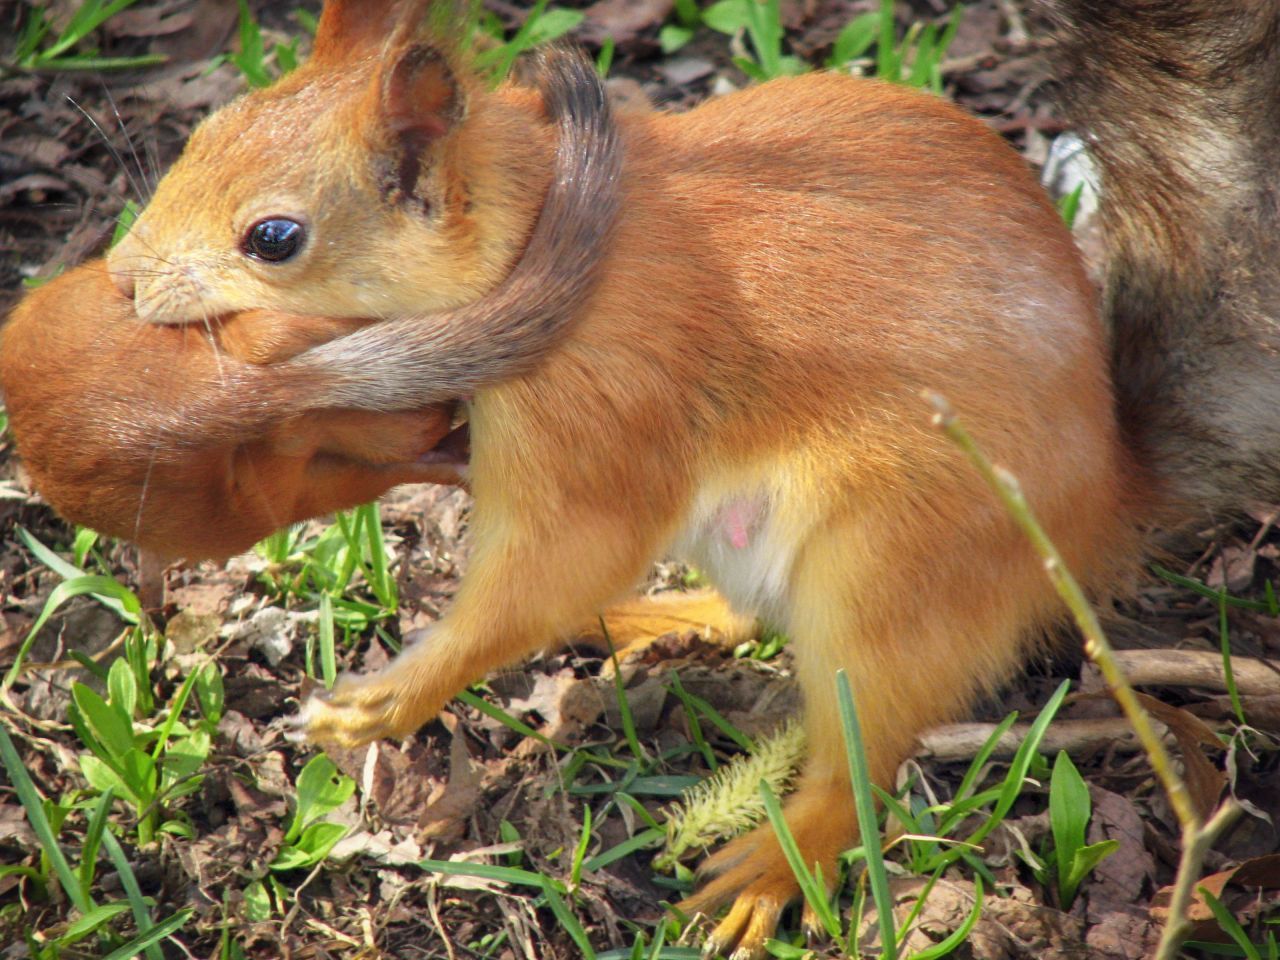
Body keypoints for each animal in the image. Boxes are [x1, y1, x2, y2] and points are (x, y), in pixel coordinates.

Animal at [5, 0, 1274, 957]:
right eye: (204, 131)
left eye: (275, 240)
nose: (121, 282)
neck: (542, 229)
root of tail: (1097, 508)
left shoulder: (603, 407)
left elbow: (559, 562)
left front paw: (392, 695)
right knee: (751, 618)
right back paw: (663, 615)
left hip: (895, 563)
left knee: (862, 748)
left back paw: (772, 865)